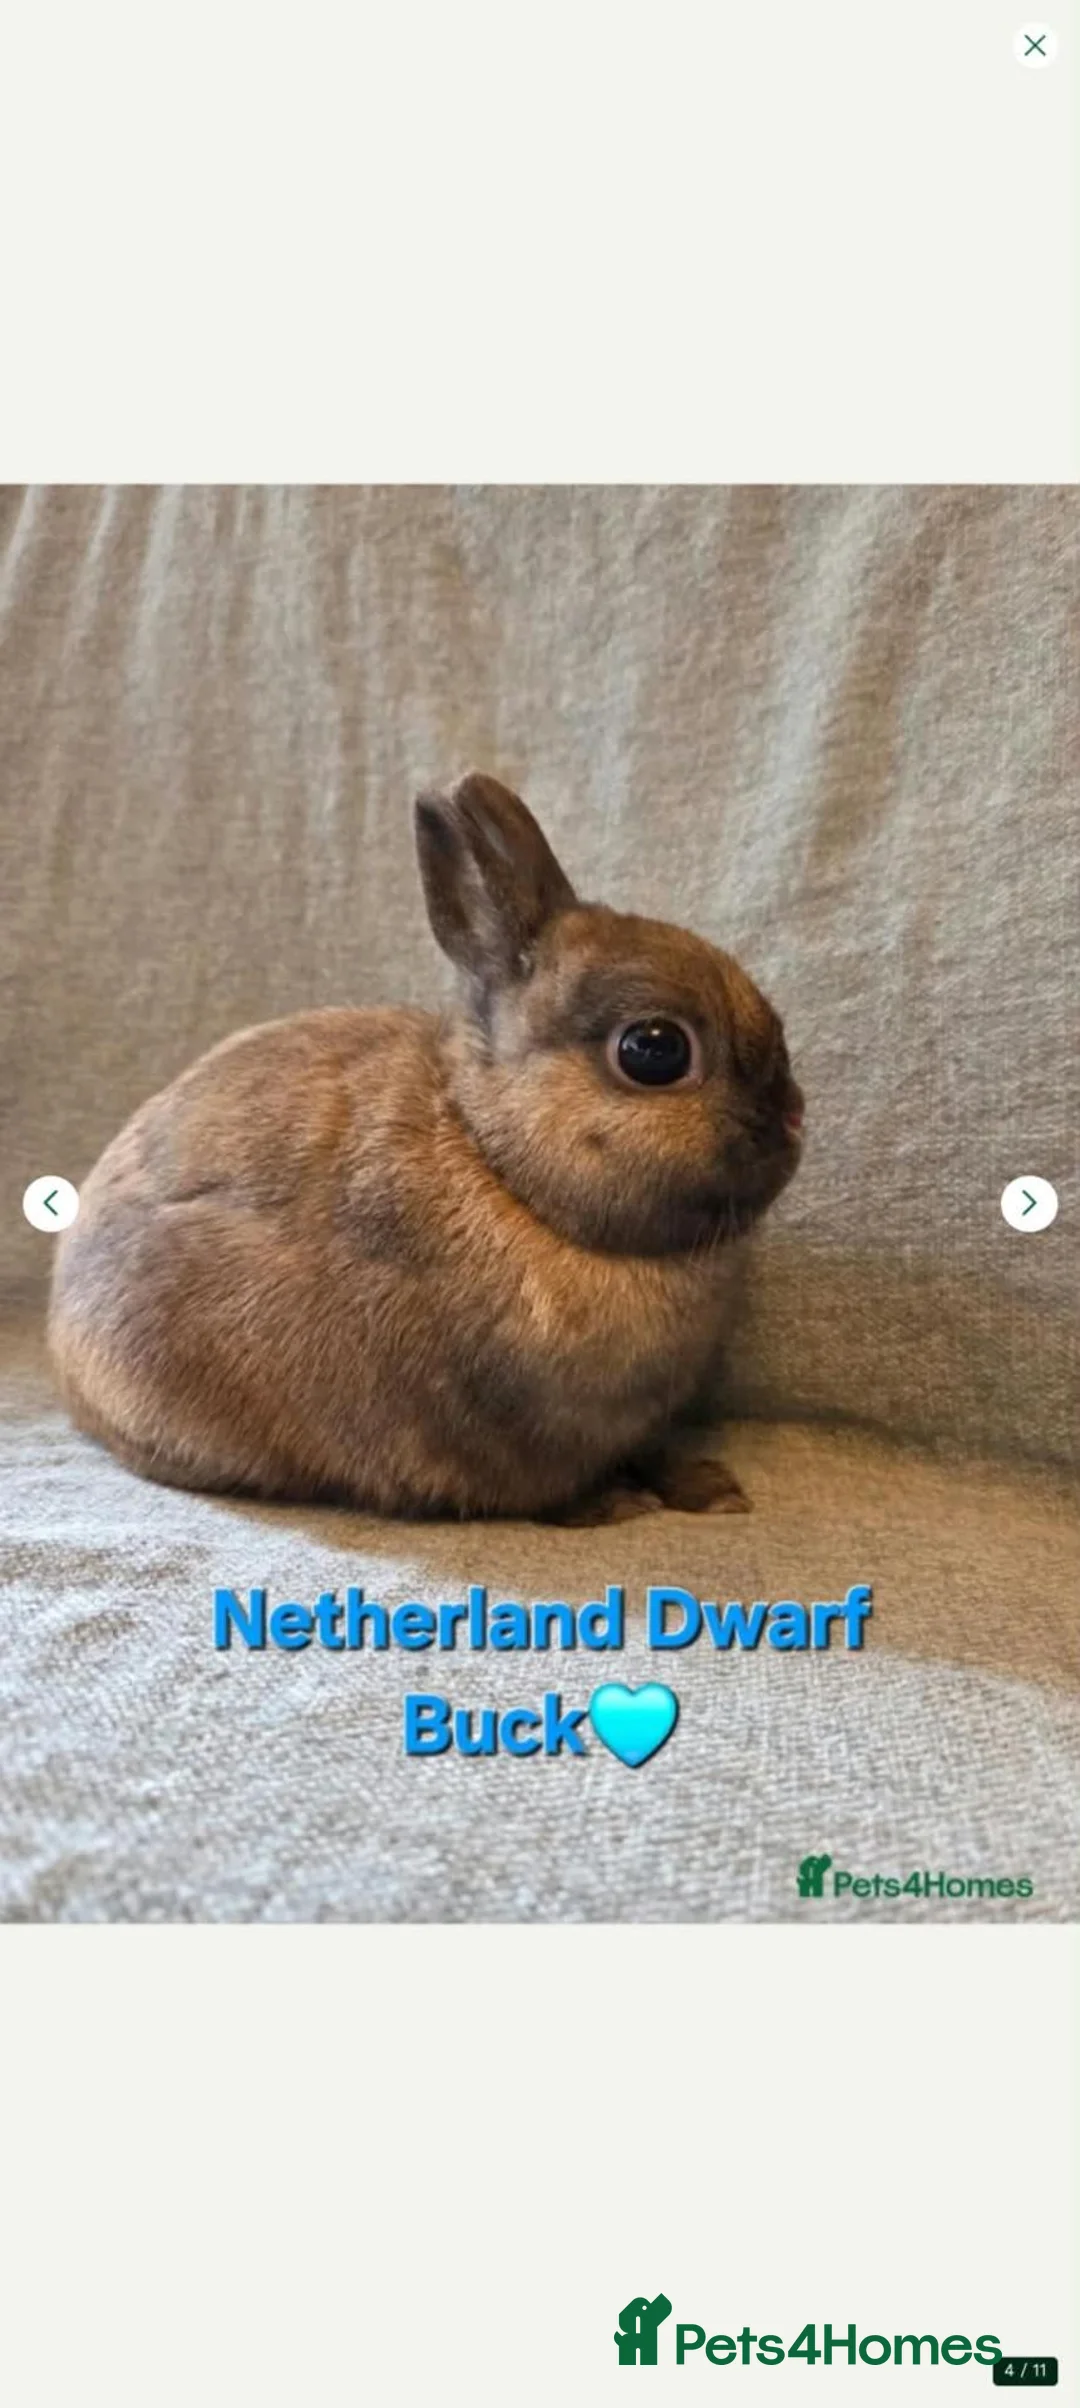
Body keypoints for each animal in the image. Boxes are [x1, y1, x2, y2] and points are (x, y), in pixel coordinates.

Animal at [48, 773, 804, 1523]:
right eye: (654, 1049)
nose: (794, 1120)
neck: (503, 1168)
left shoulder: (641, 1423)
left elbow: (656, 1451)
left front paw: (714, 1491)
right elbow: (559, 1488)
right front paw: (614, 1508)